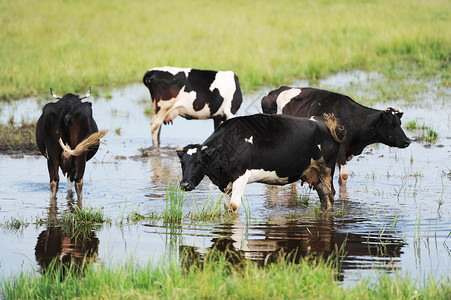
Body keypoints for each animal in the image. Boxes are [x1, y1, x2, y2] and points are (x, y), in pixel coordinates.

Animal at [177, 113, 346, 213]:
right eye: (182, 163)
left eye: (199, 162)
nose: (185, 184)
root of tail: (325, 122)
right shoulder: (226, 181)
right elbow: (227, 207)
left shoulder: (241, 176)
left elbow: (234, 206)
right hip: (314, 173)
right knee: (323, 197)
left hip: (326, 168)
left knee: (329, 194)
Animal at [262, 85, 414, 186]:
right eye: (390, 124)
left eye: (399, 123)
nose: (407, 141)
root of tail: (275, 91)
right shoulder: (340, 148)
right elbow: (344, 175)